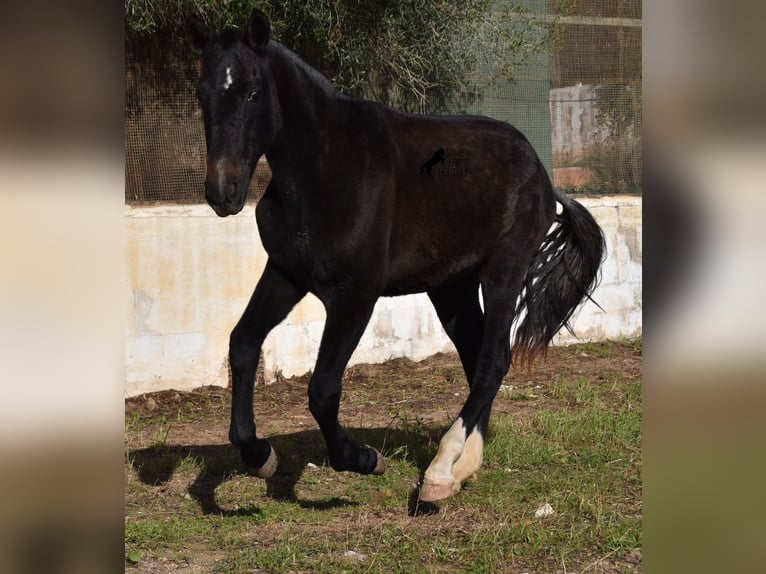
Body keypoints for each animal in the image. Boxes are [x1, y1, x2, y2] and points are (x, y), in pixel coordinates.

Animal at [188, 10, 608, 504]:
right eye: (202, 92)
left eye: (253, 91)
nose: (223, 192)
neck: (324, 169)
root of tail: (543, 174)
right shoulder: (287, 274)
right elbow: (242, 344)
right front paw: (260, 457)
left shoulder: (356, 294)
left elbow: (322, 388)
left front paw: (362, 459)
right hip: (451, 288)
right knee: (477, 356)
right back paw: (464, 467)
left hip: (503, 272)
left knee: (492, 362)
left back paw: (441, 471)